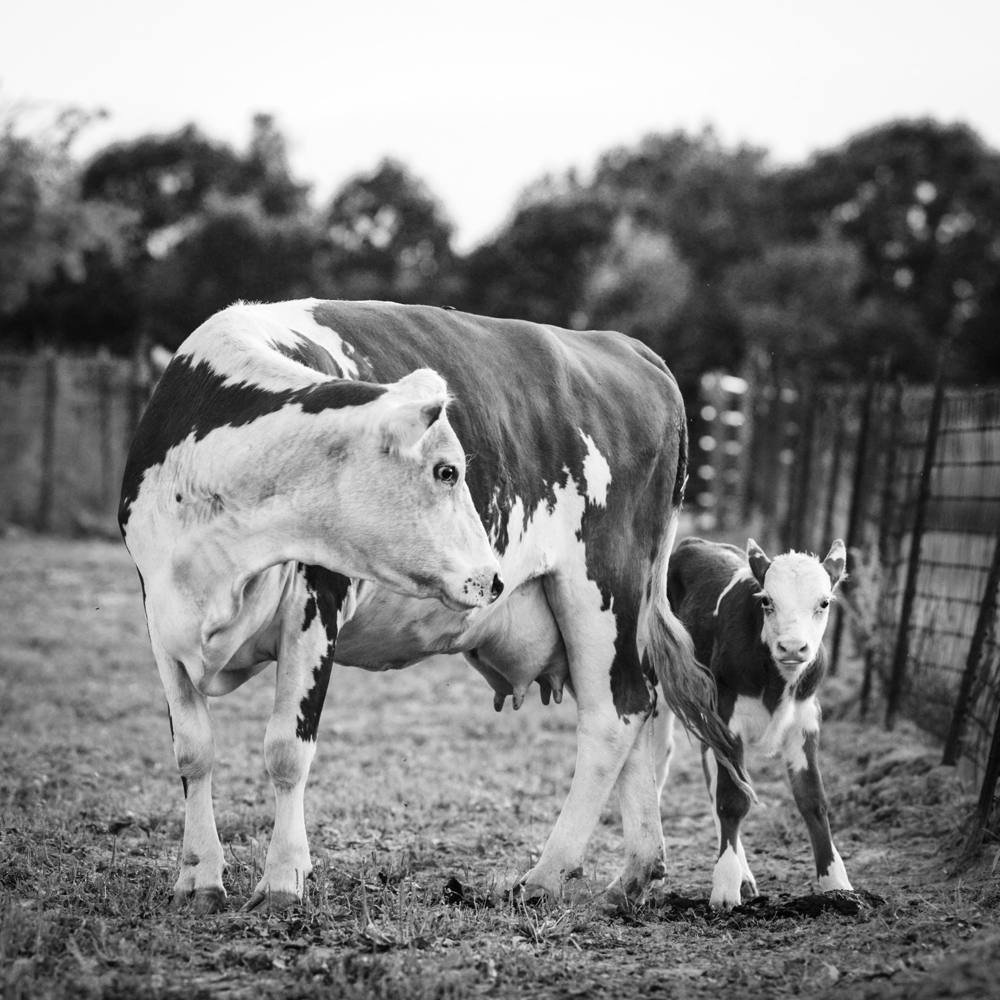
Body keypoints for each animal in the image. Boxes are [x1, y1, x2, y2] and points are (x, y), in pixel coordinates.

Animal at [118, 298, 749, 913]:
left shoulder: (314, 610)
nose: (493, 578)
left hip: (602, 591)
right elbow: (193, 751)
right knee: (642, 710)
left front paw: (282, 880)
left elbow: (286, 752)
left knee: (613, 717)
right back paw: (634, 874)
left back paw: (545, 876)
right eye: (447, 470)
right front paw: (199, 876)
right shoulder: (159, 617)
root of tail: (625, 347)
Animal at [662, 535, 852, 908]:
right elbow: (733, 800)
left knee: (711, 777)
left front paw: (837, 882)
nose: (792, 647)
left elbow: (813, 799)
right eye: (767, 601)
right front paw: (725, 886)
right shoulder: (728, 717)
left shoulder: (805, 720)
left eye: (824, 602)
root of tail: (696, 541)